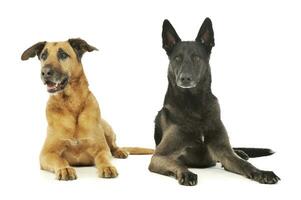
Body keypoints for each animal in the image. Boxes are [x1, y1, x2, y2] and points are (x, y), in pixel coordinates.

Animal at [21, 38, 152, 180]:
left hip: (107, 128)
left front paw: (107, 167)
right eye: (43, 56)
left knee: (114, 146)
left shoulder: (101, 148)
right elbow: (59, 159)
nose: (45, 72)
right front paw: (65, 168)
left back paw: (120, 151)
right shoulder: (46, 153)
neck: (72, 104)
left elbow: (103, 157)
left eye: (63, 55)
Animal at [148, 18, 278, 185]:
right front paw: (186, 173)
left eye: (196, 57)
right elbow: (176, 162)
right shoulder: (159, 156)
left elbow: (245, 165)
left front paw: (262, 173)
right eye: (177, 58)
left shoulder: (224, 152)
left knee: (236, 153)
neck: (195, 105)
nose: (185, 78)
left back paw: (241, 152)